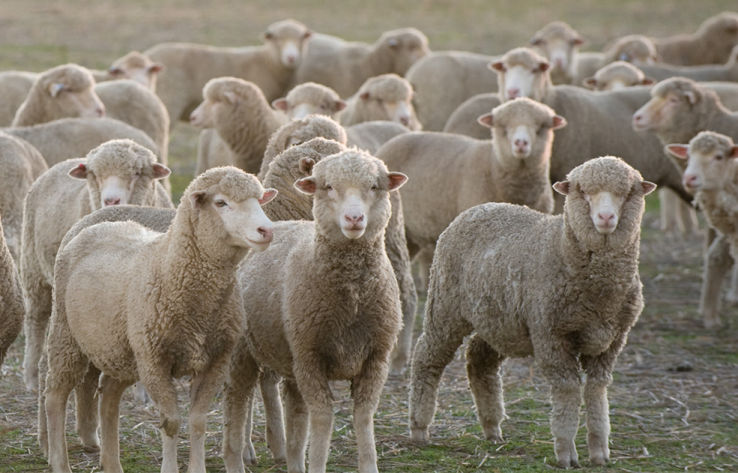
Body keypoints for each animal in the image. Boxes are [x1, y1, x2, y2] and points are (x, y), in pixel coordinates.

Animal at [20, 139, 172, 393]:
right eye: (95, 175)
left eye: (137, 172)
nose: (111, 200)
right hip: (34, 268)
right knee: (36, 319)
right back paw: (31, 377)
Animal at [43, 166, 277, 473]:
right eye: (221, 203)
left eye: (259, 200)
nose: (266, 230)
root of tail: (98, 226)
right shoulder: (156, 361)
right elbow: (171, 422)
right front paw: (169, 466)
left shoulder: (216, 360)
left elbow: (198, 422)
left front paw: (197, 468)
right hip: (67, 335)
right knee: (56, 395)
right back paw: (60, 461)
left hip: (122, 350)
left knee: (109, 396)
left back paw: (112, 463)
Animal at [146, 19, 312, 123]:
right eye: (276, 39)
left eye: (302, 38)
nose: (291, 57)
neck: (267, 62)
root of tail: (148, 56)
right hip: (168, 102)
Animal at [222, 149, 407, 473]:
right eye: (328, 187)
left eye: (374, 186)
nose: (354, 218)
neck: (352, 300)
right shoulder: (311, 359)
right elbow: (323, 420)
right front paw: (318, 462)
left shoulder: (376, 359)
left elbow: (363, 417)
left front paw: (369, 464)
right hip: (244, 353)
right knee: (238, 405)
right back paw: (236, 457)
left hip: (292, 357)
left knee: (295, 417)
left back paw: (294, 461)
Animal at [409, 156, 656, 468]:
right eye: (583, 192)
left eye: (627, 193)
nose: (606, 218)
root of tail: (478, 208)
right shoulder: (551, 334)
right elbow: (568, 390)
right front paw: (566, 453)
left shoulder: (611, 341)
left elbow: (597, 390)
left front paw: (599, 451)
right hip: (445, 305)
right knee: (427, 357)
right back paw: (419, 428)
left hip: (498, 320)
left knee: (479, 359)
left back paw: (492, 427)